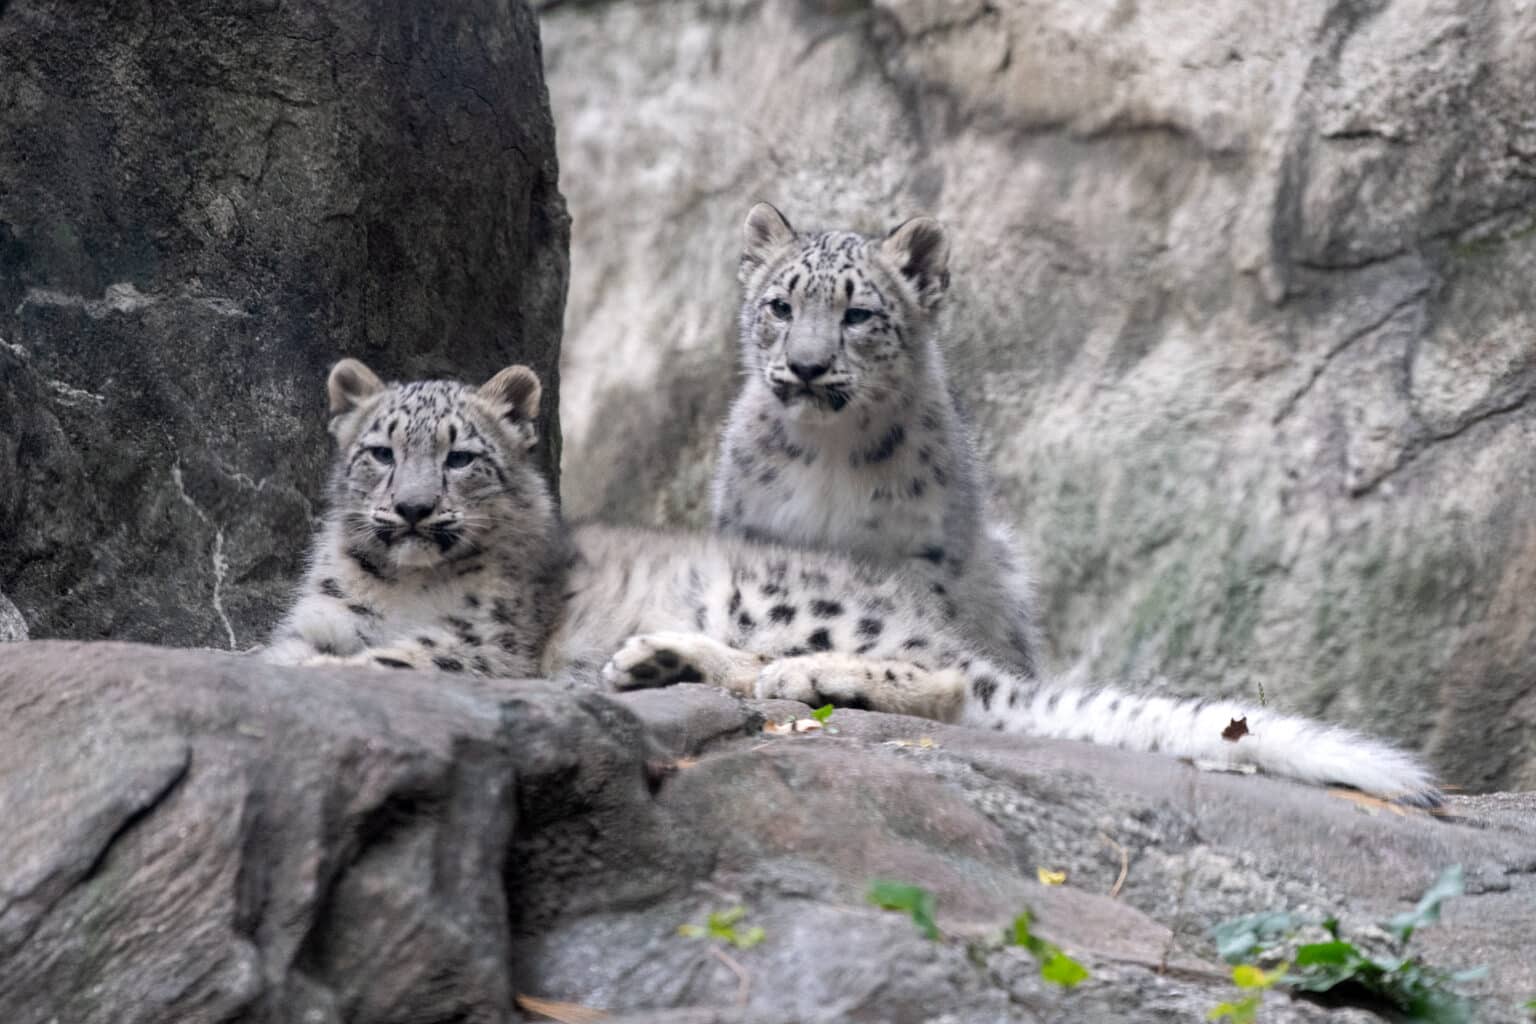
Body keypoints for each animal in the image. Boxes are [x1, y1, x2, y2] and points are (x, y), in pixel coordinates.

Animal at [265, 359, 1443, 808]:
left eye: (463, 456)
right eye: (381, 452)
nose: (414, 514)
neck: (389, 583)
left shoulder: (479, 643)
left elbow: (403, 654)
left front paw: (349, 671)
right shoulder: (312, 617)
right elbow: (285, 650)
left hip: (787, 598)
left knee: (940, 682)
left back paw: (786, 674)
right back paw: (653, 659)